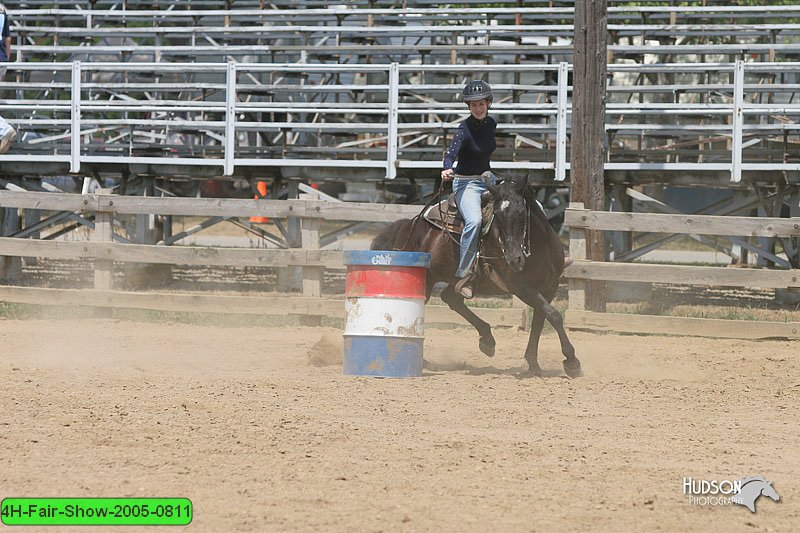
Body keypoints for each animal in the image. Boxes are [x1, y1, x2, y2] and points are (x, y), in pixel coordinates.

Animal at [368, 177, 580, 376]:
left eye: (521, 212)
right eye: (497, 215)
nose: (514, 259)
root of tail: (409, 224)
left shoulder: (550, 286)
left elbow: (541, 320)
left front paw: (534, 364)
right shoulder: (518, 285)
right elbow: (553, 315)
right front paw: (572, 361)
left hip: (454, 279)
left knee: (451, 298)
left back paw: (487, 340)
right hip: (425, 282)